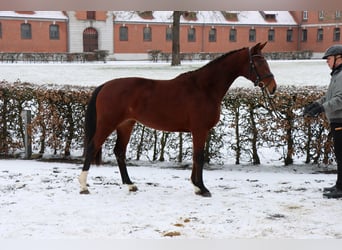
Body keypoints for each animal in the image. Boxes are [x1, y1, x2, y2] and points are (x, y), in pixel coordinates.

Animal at [79, 41, 276, 197]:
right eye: (258, 62)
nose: (272, 87)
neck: (204, 88)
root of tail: (105, 86)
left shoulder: (199, 131)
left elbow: (197, 157)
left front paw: (196, 187)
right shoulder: (199, 130)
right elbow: (199, 156)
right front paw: (202, 188)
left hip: (125, 125)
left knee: (119, 151)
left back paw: (130, 184)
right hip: (107, 124)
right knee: (92, 147)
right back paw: (83, 186)